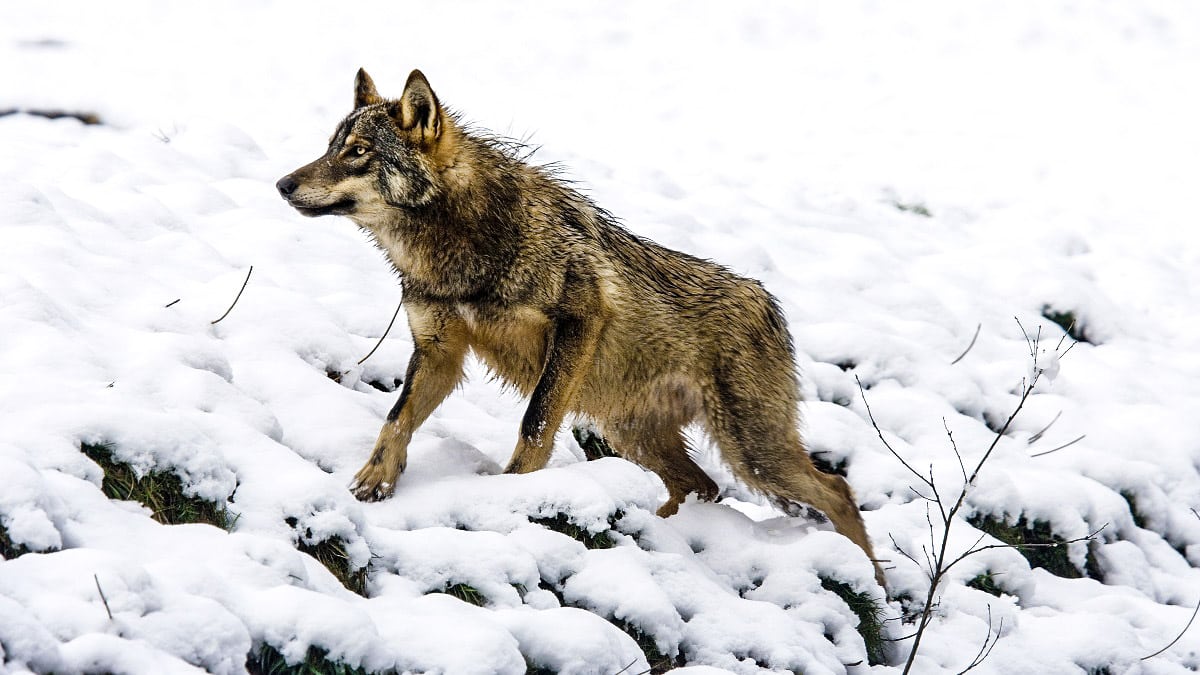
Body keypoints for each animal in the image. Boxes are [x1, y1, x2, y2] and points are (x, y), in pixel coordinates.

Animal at [276, 69, 888, 583]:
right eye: (329, 148)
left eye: (357, 153)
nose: (282, 184)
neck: (459, 249)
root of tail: (770, 303)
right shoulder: (439, 351)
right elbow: (396, 419)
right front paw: (373, 482)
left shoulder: (578, 323)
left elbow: (534, 426)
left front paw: (513, 496)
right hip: (631, 433)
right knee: (705, 487)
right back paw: (665, 533)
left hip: (753, 453)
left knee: (836, 489)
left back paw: (873, 585)